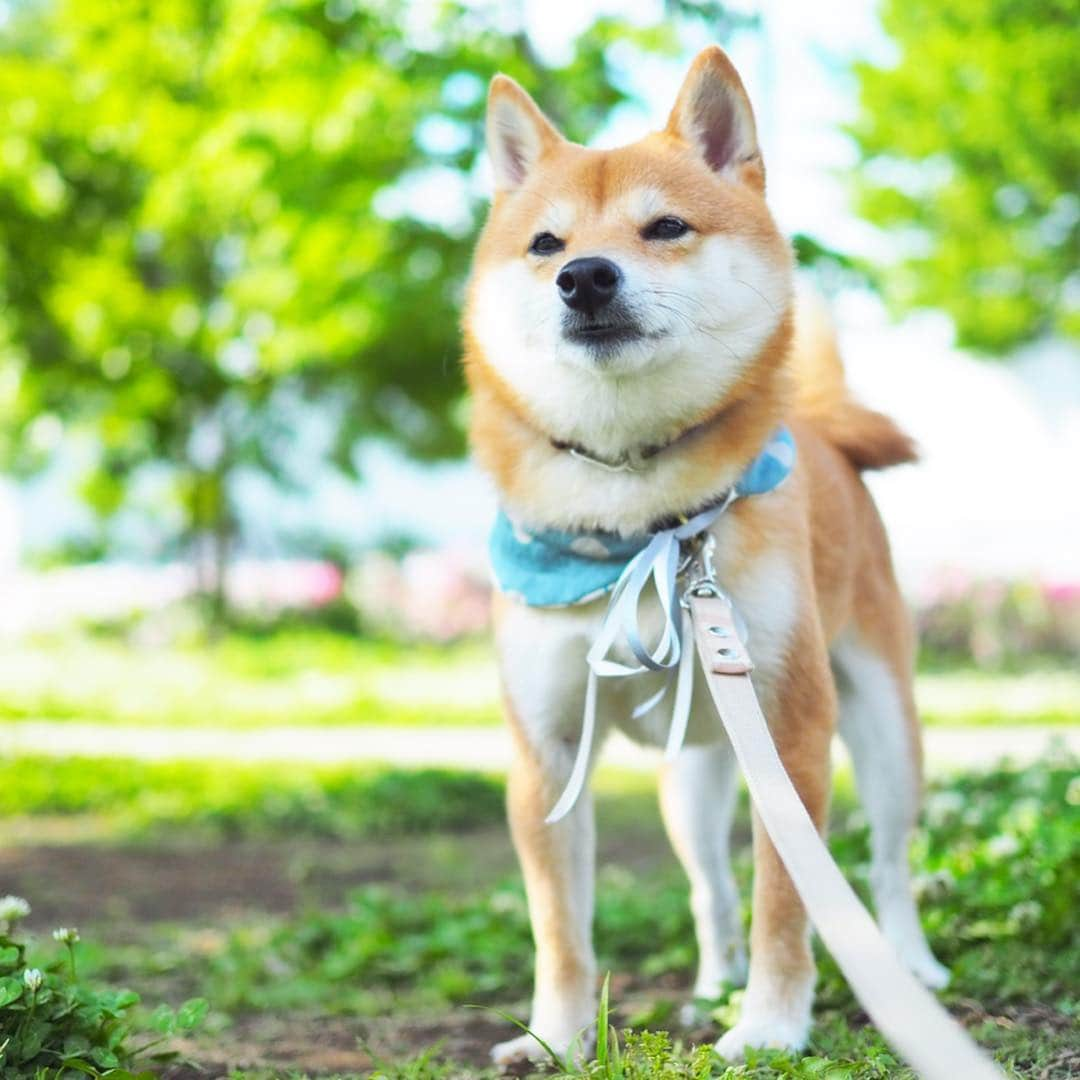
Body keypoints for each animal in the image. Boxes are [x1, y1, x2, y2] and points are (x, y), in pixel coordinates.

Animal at [460, 48, 950, 1062]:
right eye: (544, 243)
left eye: (666, 227)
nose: (585, 277)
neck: (632, 519)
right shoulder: (545, 752)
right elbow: (561, 929)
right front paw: (557, 1038)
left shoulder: (794, 728)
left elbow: (788, 904)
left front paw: (769, 1028)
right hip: (694, 777)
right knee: (709, 888)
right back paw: (712, 982)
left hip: (884, 727)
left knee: (887, 866)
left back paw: (910, 969)